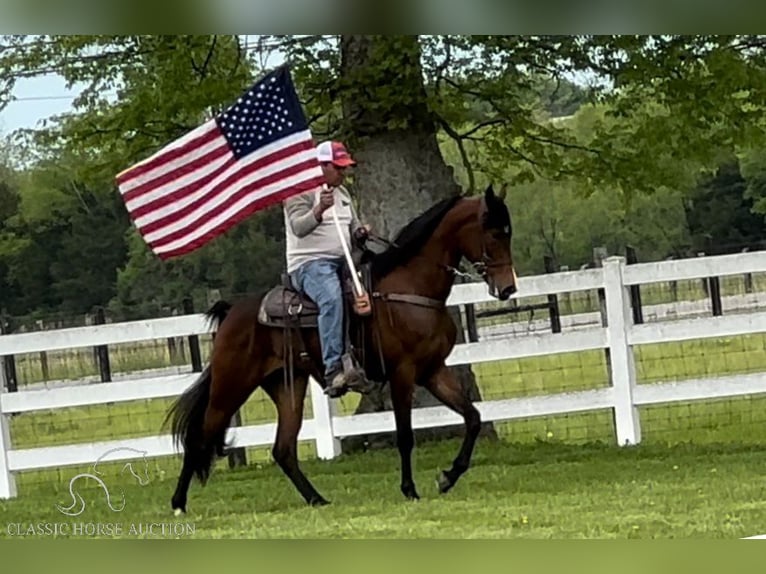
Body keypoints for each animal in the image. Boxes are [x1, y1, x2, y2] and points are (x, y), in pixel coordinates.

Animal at [165, 184, 520, 512]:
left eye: (509, 233)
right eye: (493, 233)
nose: (508, 288)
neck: (410, 289)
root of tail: (231, 313)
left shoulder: (433, 371)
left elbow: (472, 417)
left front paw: (448, 476)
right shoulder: (402, 373)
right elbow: (405, 435)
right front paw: (409, 488)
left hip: (287, 386)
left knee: (283, 449)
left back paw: (317, 499)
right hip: (231, 386)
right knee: (199, 438)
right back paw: (179, 503)